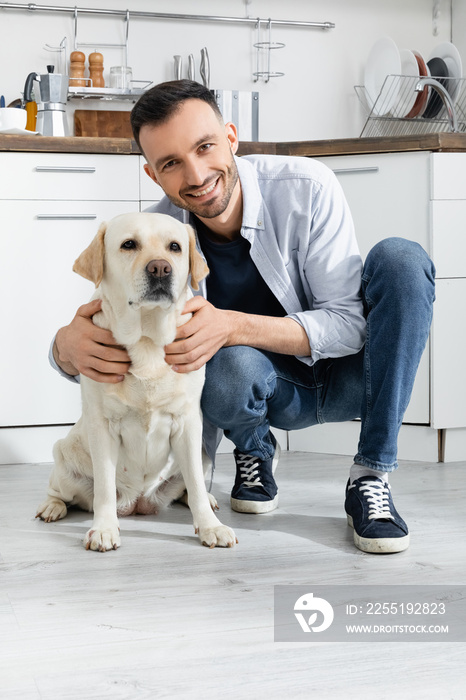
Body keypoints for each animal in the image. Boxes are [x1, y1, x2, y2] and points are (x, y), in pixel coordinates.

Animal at [37, 212, 237, 552]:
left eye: (175, 247)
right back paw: (52, 507)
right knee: (62, 492)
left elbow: (196, 485)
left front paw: (210, 526)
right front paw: (104, 529)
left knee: (190, 485)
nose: (160, 268)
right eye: (129, 244)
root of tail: (139, 502)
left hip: (202, 453)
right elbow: (104, 488)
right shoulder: (103, 426)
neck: (147, 340)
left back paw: (206, 501)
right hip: (64, 459)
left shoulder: (188, 422)